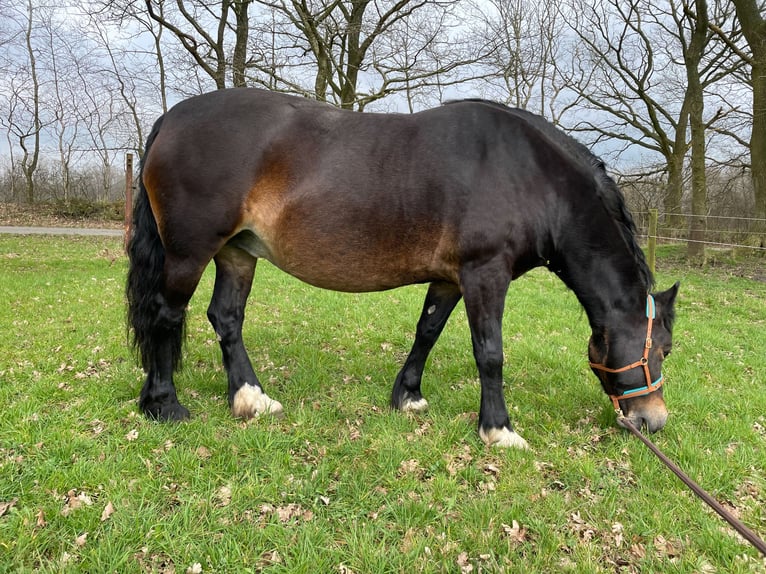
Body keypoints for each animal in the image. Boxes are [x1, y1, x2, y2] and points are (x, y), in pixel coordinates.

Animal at [127, 90, 684, 450]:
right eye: (663, 347)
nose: (652, 421)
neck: (529, 175)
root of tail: (170, 119)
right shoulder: (485, 273)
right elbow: (490, 353)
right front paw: (498, 430)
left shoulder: (450, 278)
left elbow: (427, 331)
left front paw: (408, 397)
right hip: (191, 253)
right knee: (166, 315)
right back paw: (164, 405)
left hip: (238, 253)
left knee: (226, 318)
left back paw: (251, 399)